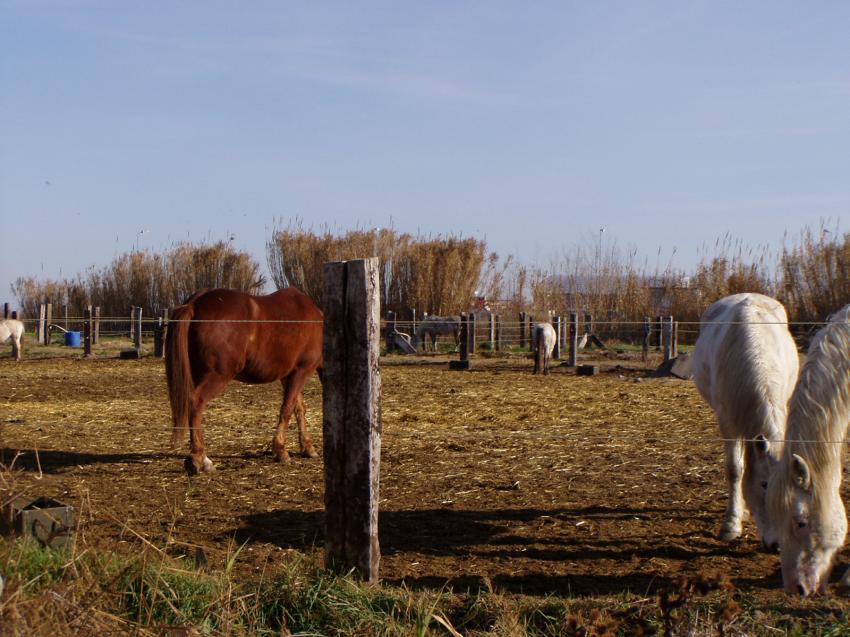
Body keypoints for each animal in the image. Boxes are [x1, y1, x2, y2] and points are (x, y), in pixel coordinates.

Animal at [166, 287, 323, 476]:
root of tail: (194, 304)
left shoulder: (288, 376)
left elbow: (298, 409)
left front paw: (307, 448)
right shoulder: (302, 370)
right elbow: (287, 409)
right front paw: (281, 451)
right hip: (218, 376)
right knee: (196, 402)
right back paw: (198, 459)